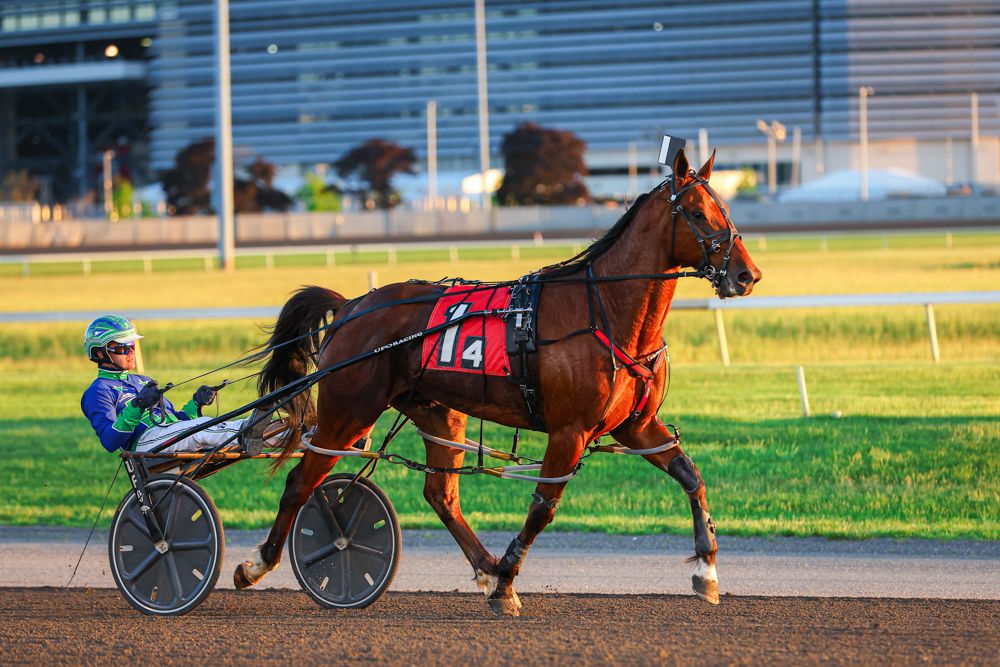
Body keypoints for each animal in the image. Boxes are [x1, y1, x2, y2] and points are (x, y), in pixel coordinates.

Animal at [233, 148, 761, 615]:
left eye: (725, 208)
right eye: (698, 212)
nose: (747, 274)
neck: (606, 311)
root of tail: (352, 306)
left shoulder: (635, 425)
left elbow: (691, 476)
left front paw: (707, 572)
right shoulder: (569, 431)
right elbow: (544, 508)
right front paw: (508, 578)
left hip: (437, 413)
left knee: (440, 495)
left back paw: (483, 567)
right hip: (348, 411)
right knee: (302, 480)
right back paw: (257, 563)